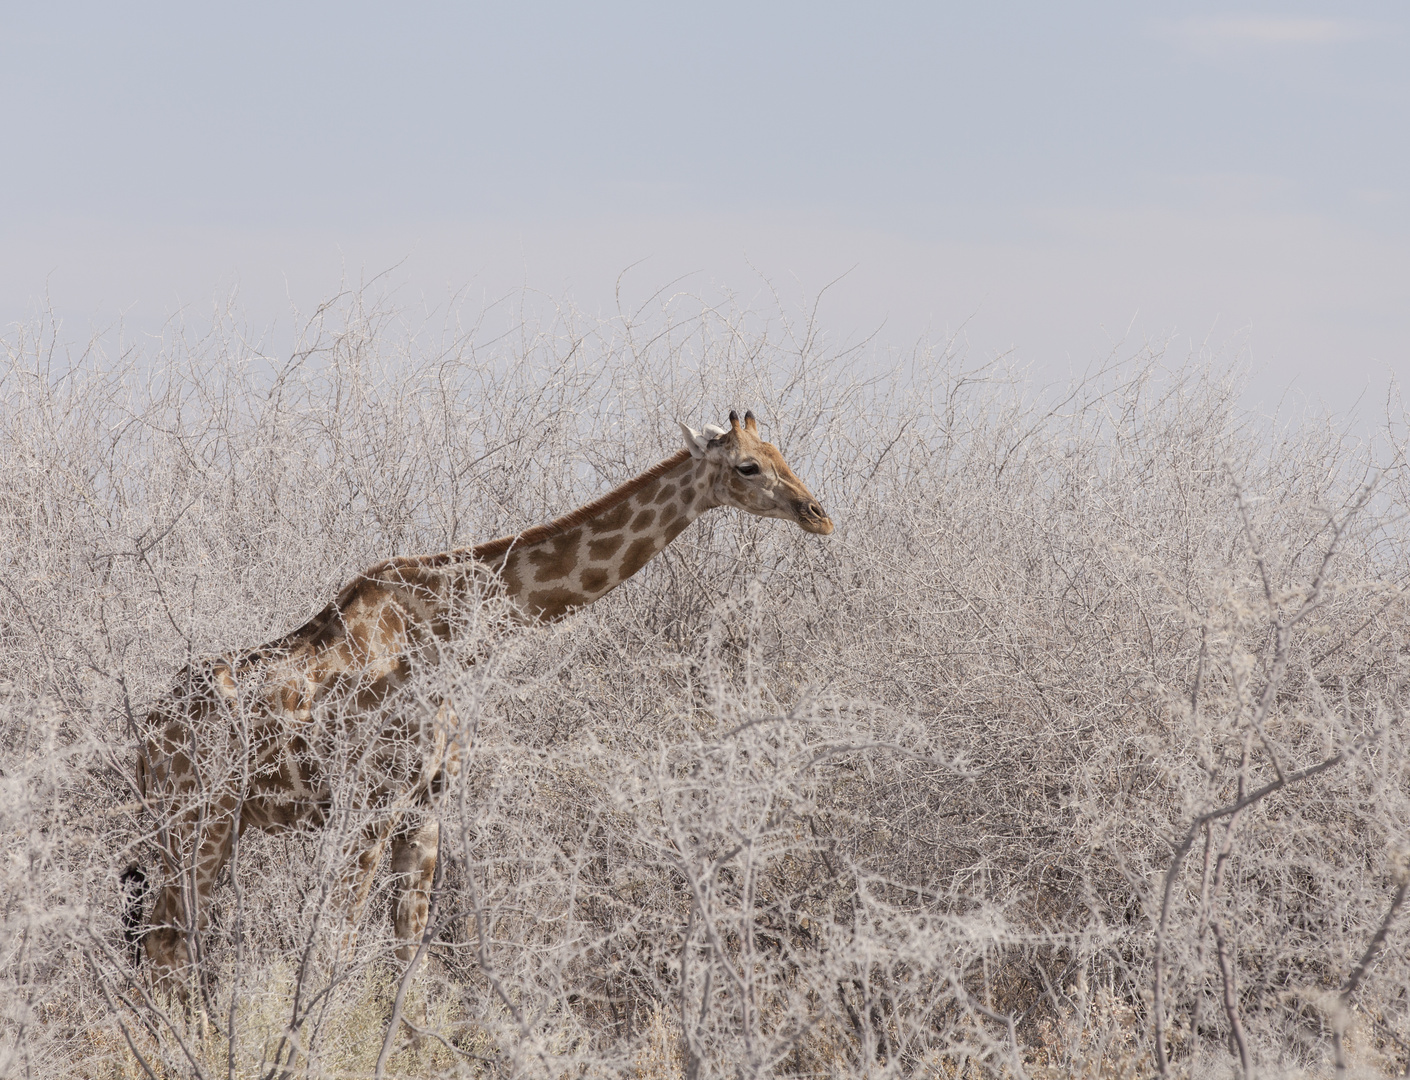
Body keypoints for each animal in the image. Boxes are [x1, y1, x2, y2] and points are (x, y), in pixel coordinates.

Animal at [126, 411, 829, 992]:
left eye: (781, 451)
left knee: (164, 939)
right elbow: (334, 946)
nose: (817, 511)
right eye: (748, 466)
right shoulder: (373, 803)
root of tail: (146, 738)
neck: (446, 635)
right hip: (201, 817)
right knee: (168, 941)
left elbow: (408, 956)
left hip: (197, 824)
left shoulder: (428, 807)